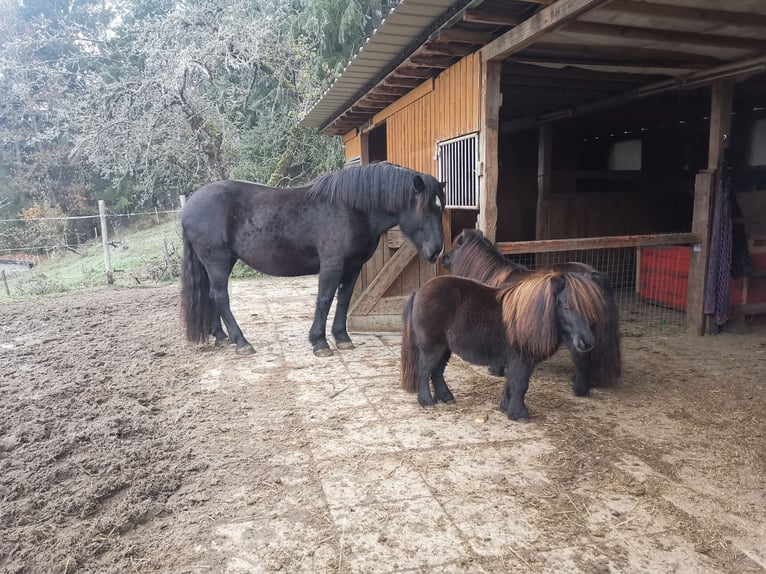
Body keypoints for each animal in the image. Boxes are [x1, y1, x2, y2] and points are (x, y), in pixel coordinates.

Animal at [182, 162, 448, 358]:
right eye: (425, 209)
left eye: (441, 207)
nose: (436, 251)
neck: (350, 209)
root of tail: (190, 205)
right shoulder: (332, 264)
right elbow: (324, 299)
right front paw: (319, 342)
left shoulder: (353, 267)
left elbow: (343, 300)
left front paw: (342, 338)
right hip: (217, 261)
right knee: (220, 297)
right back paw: (241, 342)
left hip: (220, 264)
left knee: (211, 296)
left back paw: (221, 337)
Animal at [402, 274, 612, 424]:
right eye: (567, 307)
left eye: (594, 308)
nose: (586, 343)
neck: (531, 316)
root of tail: (419, 290)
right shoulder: (522, 359)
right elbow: (520, 384)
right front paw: (519, 414)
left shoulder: (517, 361)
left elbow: (511, 383)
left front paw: (505, 407)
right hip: (433, 347)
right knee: (425, 371)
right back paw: (427, 401)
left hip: (445, 348)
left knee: (437, 372)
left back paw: (446, 397)